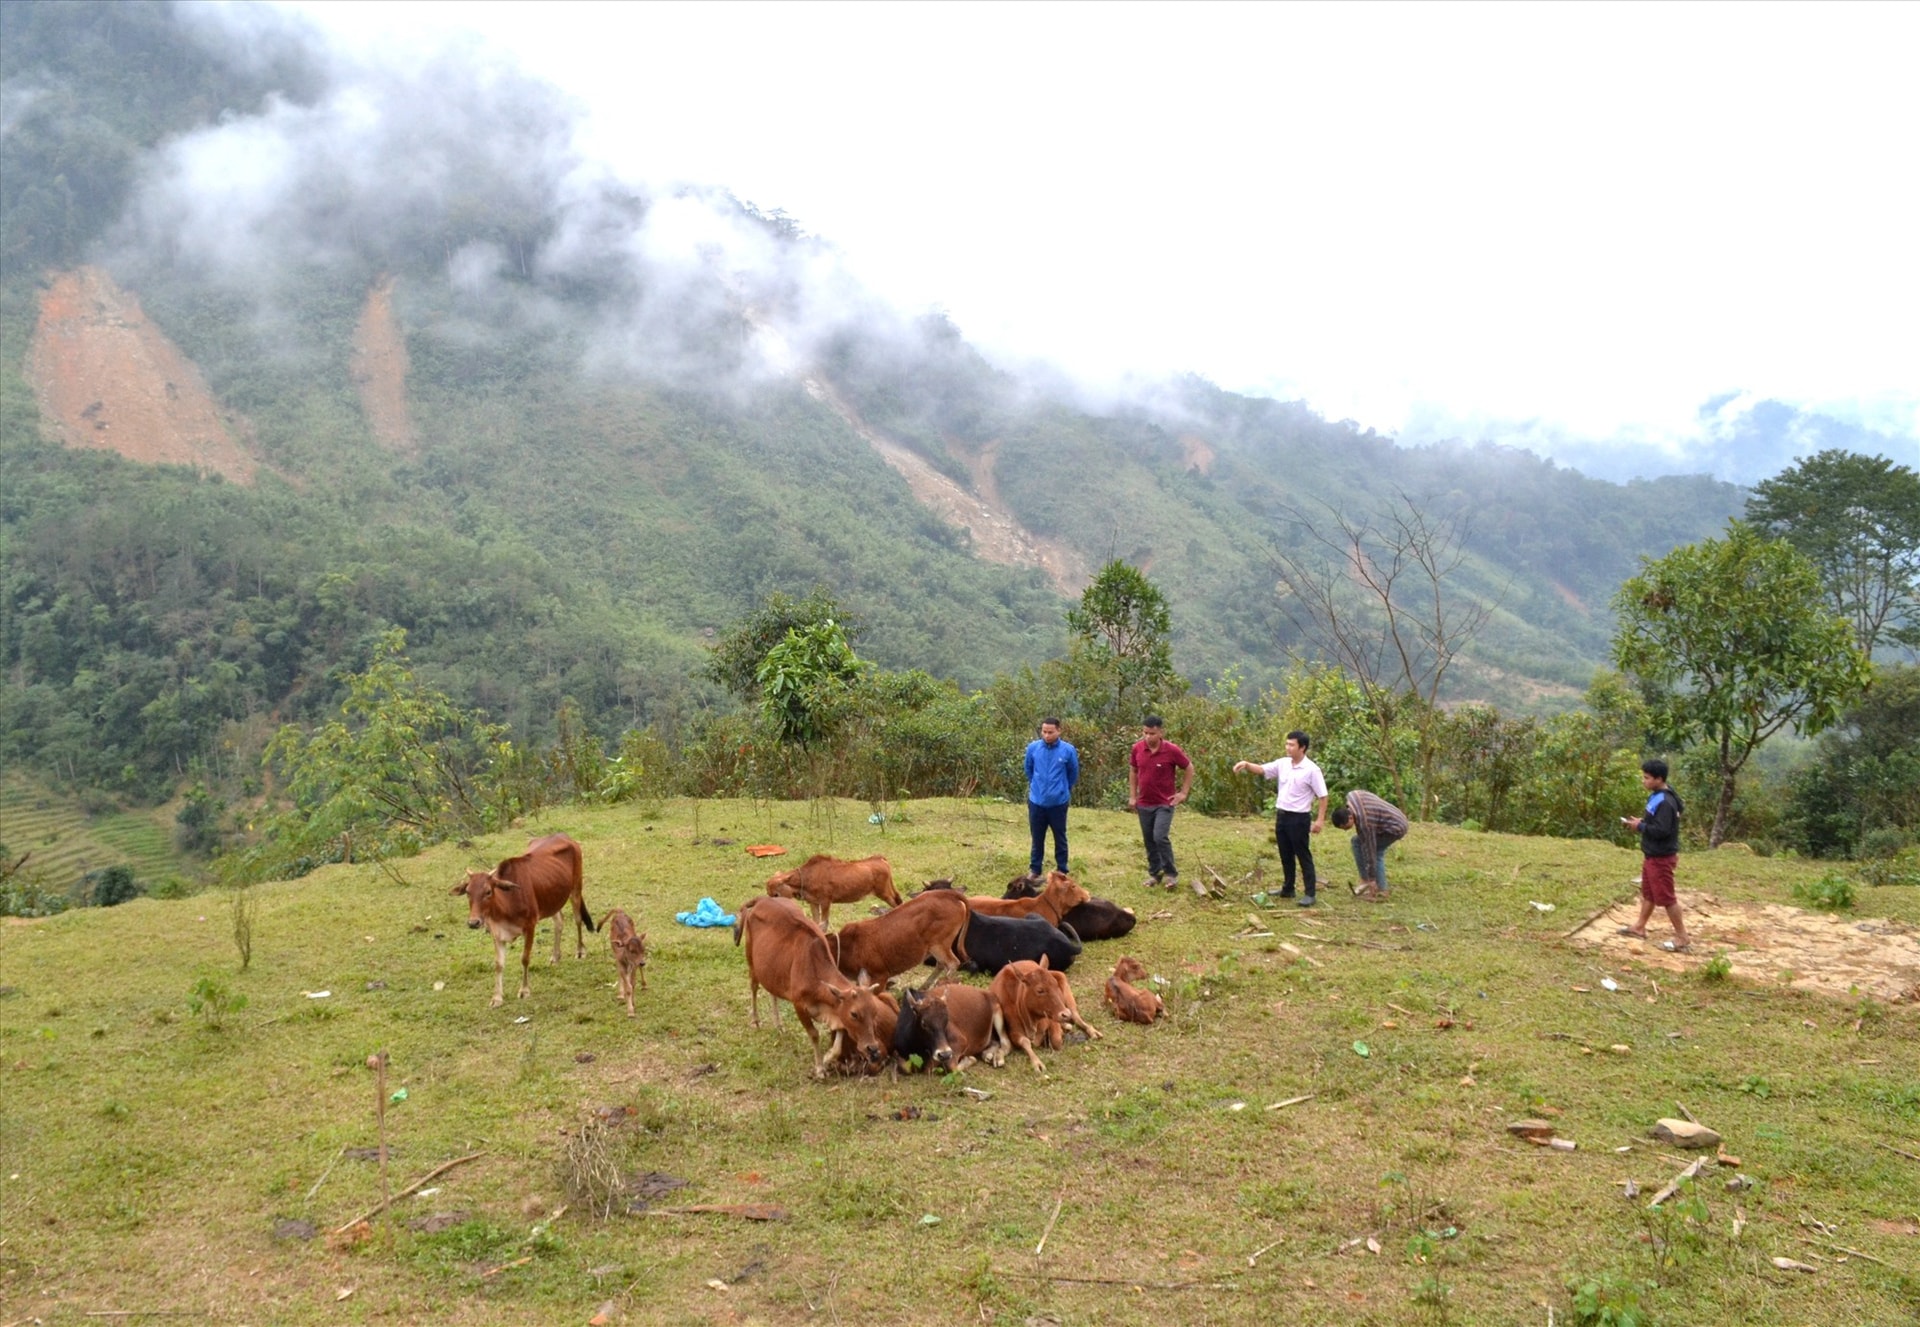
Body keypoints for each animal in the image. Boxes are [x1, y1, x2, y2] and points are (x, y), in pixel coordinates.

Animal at [451, 837, 595, 1013]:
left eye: (488, 891)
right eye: (468, 892)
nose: (474, 922)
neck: (507, 904)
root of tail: (566, 837)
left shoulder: (530, 926)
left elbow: (525, 959)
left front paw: (524, 990)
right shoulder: (497, 934)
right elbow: (498, 964)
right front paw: (496, 998)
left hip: (576, 889)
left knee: (577, 919)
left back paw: (580, 951)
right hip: (552, 900)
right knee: (559, 922)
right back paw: (555, 956)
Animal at [733, 891, 890, 1083]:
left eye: (874, 1012)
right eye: (854, 1014)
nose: (872, 1048)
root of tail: (763, 899)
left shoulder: (835, 1009)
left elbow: (839, 1038)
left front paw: (827, 1057)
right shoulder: (799, 1005)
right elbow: (814, 1034)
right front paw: (820, 1069)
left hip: (771, 970)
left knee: (772, 993)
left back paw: (779, 1025)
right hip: (752, 961)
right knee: (754, 987)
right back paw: (755, 1021)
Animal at [764, 856, 906, 929]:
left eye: (776, 894)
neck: (807, 876)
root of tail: (881, 859)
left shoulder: (825, 902)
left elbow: (823, 925)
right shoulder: (813, 903)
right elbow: (815, 923)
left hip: (884, 893)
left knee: (897, 904)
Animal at [829, 887, 975, 990]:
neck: (848, 946)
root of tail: (947, 893)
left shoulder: (880, 976)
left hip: (939, 944)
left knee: (952, 963)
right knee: (941, 964)